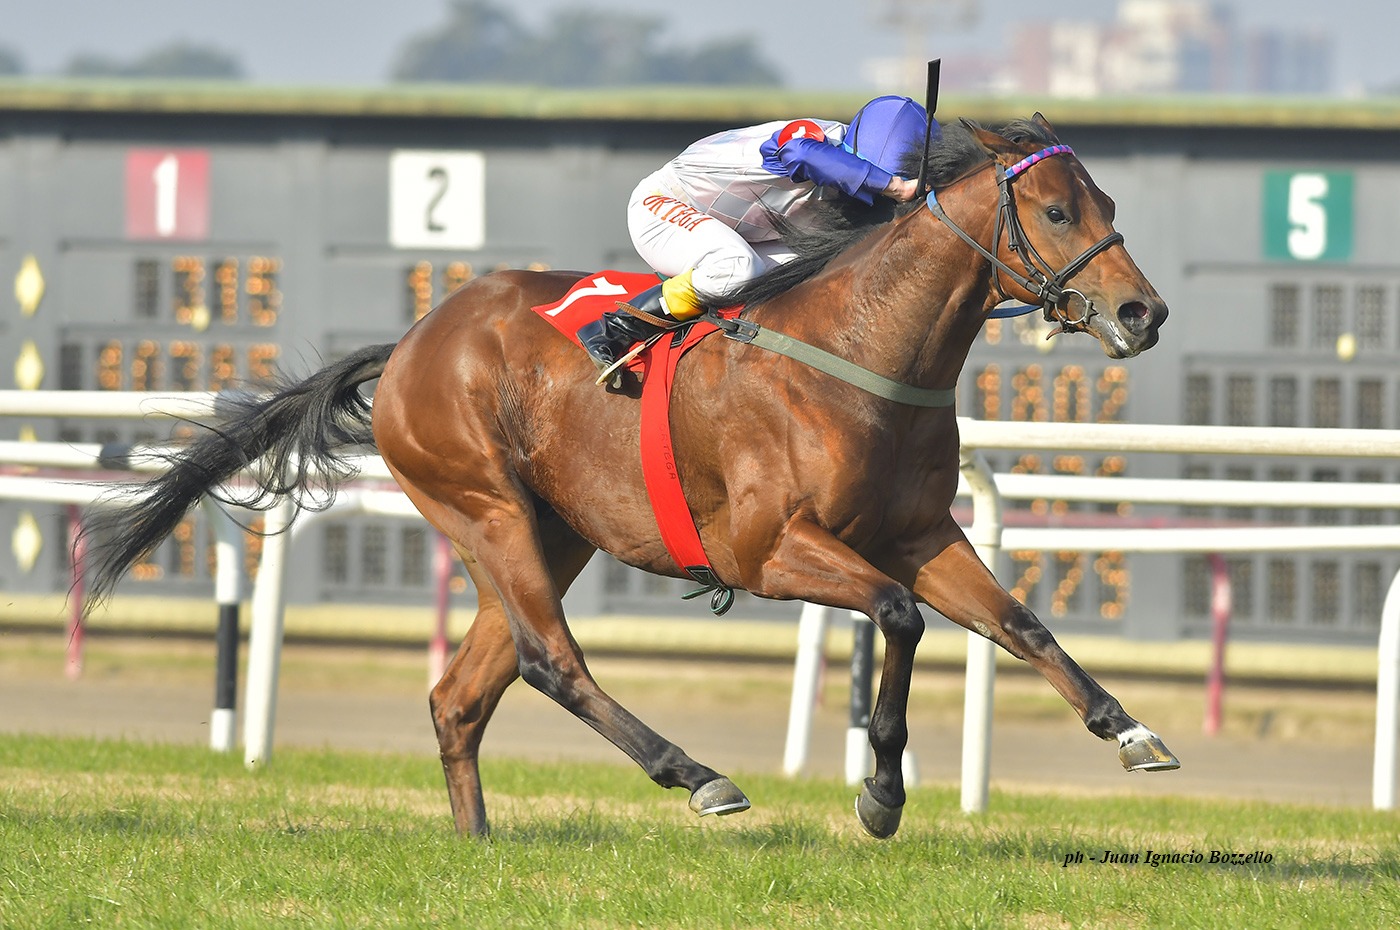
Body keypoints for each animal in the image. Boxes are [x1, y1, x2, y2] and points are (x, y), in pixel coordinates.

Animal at [86, 114, 1174, 839]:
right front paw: (878, 796)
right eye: (1053, 208)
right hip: (481, 505)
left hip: (554, 529)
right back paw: (695, 775)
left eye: (1110, 204)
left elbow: (1018, 621)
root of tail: (411, 343)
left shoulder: (918, 531)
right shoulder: (766, 549)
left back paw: (477, 842)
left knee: (462, 693)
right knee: (548, 662)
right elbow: (899, 617)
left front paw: (1127, 730)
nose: (1141, 313)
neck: (860, 351)